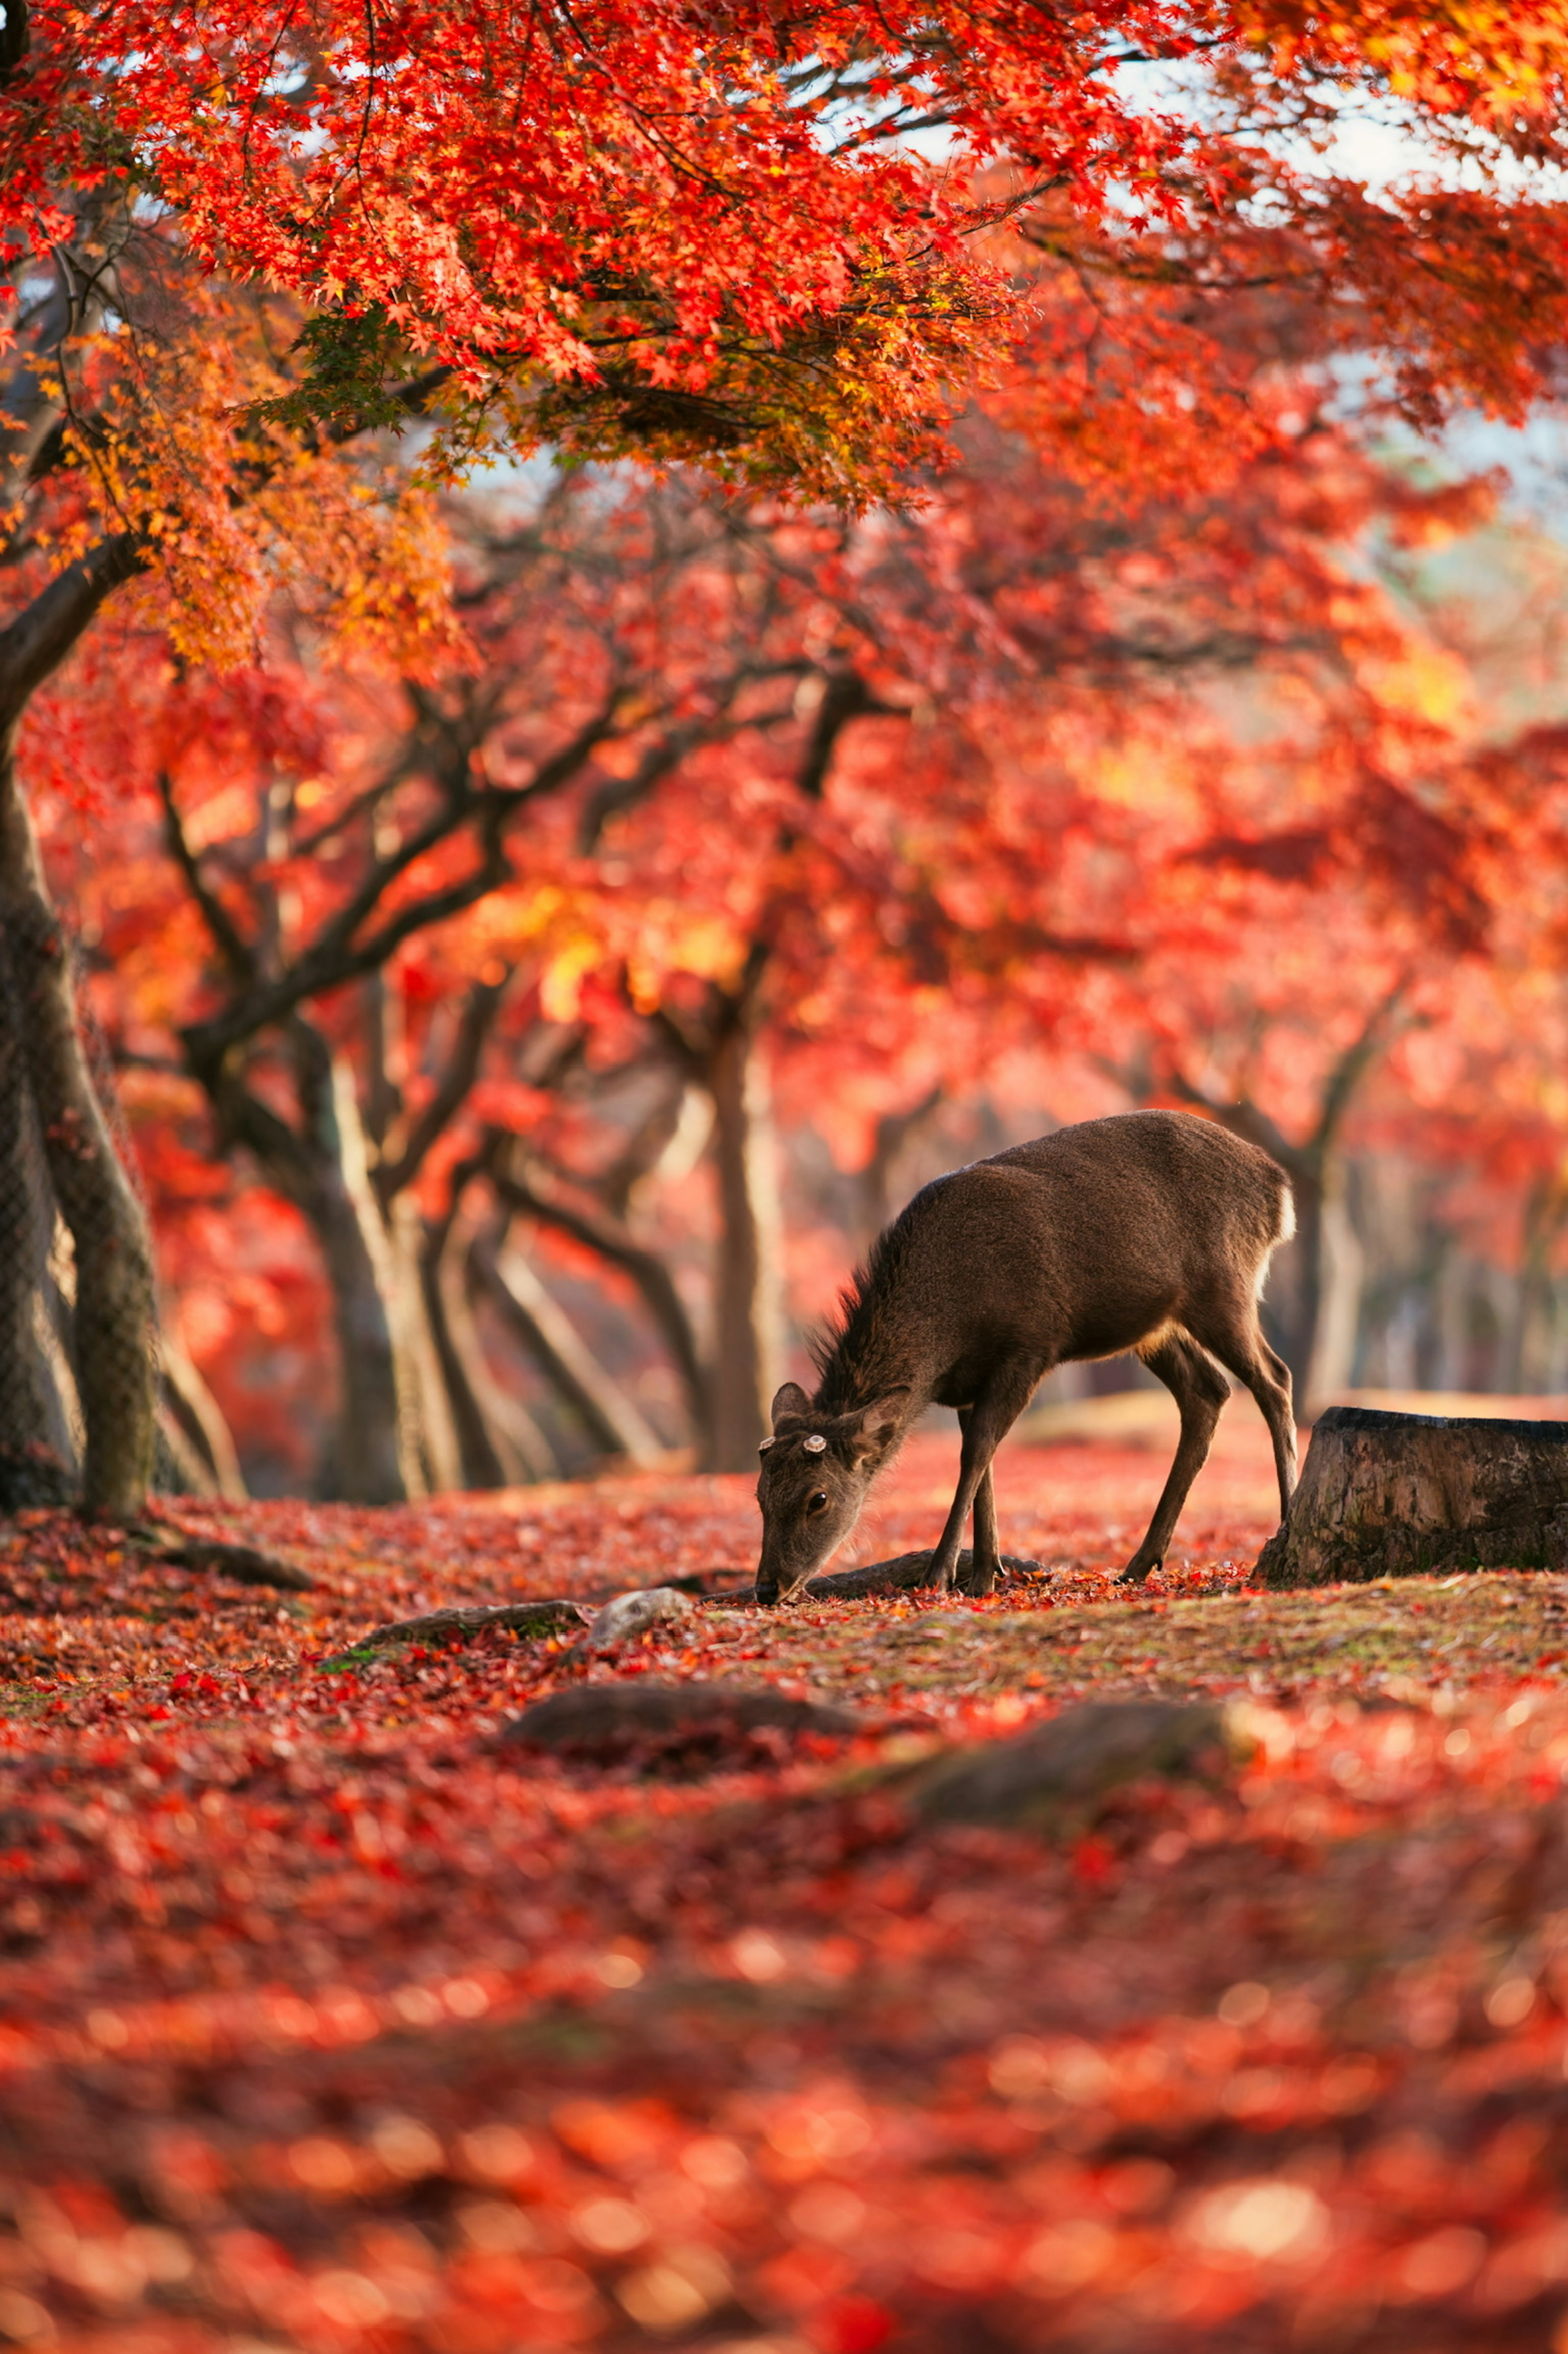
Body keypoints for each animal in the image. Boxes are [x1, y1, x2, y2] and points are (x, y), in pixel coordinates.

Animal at [753, 1101, 1290, 1601]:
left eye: (818, 1498)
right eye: (760, 1495)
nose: (766, 1587)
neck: (948, 1331)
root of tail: (1278, 1186)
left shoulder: (1030, 1346)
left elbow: (977, 1453)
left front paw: (940, 1575)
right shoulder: (969, 1384)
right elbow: (984, 1465)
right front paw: (985, 1574)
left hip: (1224, 1285)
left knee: (1274, 1379)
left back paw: (1285, 1521)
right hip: (1155, 1326)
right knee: (1209, 1391)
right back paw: (1140, 1562)